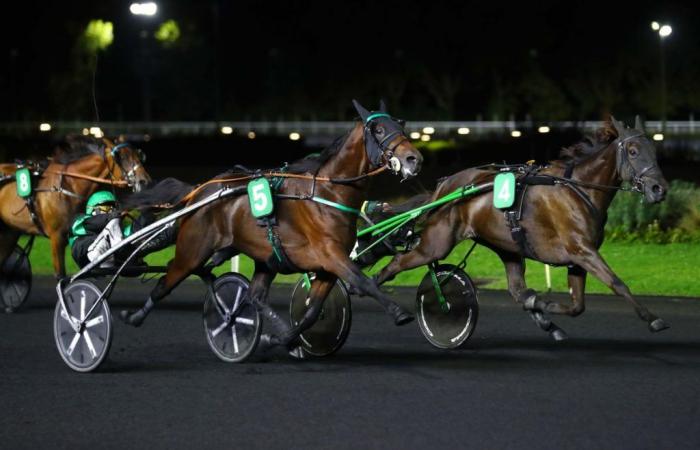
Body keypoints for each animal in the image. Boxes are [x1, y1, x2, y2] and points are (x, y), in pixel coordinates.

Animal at [0, 135, 150, 280]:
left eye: (139, 155)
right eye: (122, 157)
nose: (144, 181)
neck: (67, 187)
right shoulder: (57, 238)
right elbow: (61, 275)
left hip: (10, 232)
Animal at [121, 99, 424, 352]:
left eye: (401, 125)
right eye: (379, 129)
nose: (414, 159)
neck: (328, 194)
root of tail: (199, 191)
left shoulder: (326, 266)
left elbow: (311, 312)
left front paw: (280, 339)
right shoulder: (330, 254)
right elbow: (363, 281)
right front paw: (399, 312)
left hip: (264, 258)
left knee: (253, 296)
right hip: (192, 249)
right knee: (166, 280)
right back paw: (133, 316)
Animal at [374, 118, 668, 340]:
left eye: (654, 150)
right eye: (633, 151)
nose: (659, 189)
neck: (579, 191)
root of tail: (444, 186)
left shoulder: (578, 258)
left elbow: (576, 306)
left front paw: (542, 307)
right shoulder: (582, 250)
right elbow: (617, 283)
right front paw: (653, 319)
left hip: (507, 247)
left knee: (516, 290)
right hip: (436, 244)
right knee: (394, 265)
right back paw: (375, 293)